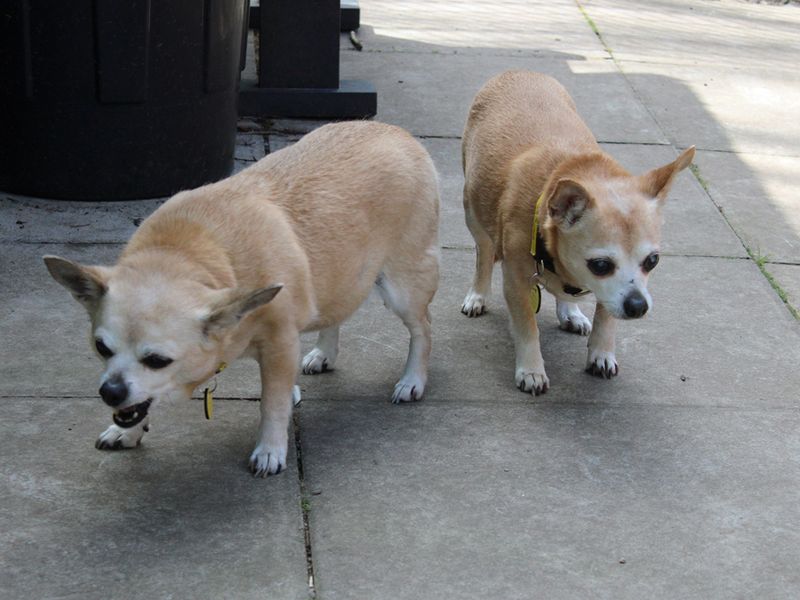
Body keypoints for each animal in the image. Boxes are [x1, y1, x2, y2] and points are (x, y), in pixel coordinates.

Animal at [45, 123, 438, 478]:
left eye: (157, 361)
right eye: (101, 348)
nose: (110, 391)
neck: (188, 253)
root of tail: (396, 131)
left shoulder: (280, 345)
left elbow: (272, 404)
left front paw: (270, 449)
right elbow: (140, 403)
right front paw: (126, 431)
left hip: (401, 287)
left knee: (423, 329)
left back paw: (412, 380)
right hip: (343, 274)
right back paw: (325, 352)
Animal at [462, 70, 692, 396]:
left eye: (652, 261)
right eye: (601, 265)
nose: (638, 305)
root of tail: (518, 71)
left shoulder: (608, 294)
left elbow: (606, 317)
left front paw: (601, 353)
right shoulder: (517, 283)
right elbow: (527, 328)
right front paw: (531, 370)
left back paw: (570, 311)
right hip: (473, 212)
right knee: (483, 255)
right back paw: (478, 295)